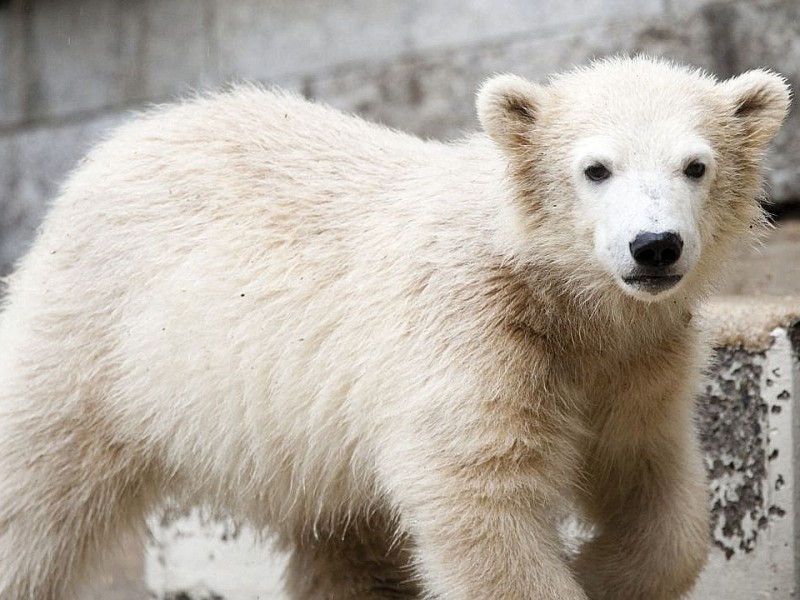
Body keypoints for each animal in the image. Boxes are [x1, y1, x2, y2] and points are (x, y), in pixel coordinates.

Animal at [0, 57, 792, 600]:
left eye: (696, 165)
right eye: (595, 168)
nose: (654, 246)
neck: (556, 292)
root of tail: (111, 150)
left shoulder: (634, 359)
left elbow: (650, 481)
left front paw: (598, 569)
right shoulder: (470, 330)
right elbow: (479, 495)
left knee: (343, 542)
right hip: (97, 335)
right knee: (36, 487)